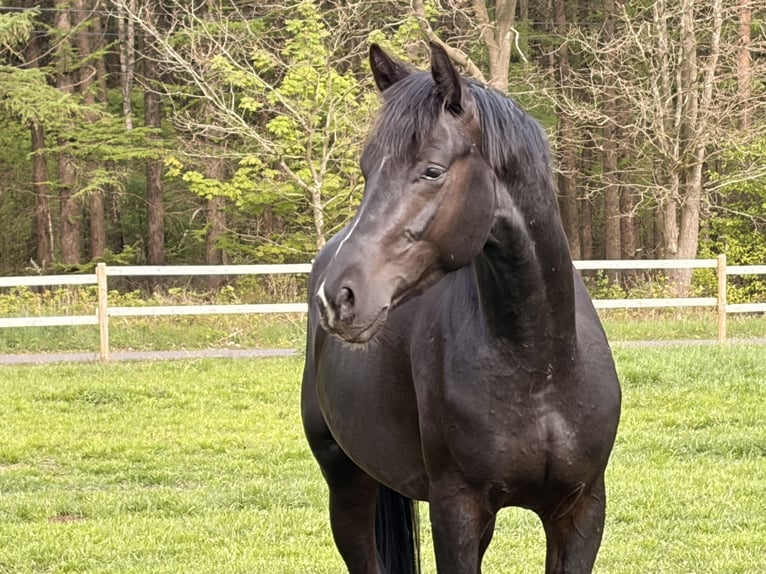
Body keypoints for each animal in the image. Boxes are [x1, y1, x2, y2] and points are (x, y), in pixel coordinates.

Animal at [301, 42, 621, 574]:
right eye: (367, 170)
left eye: (432, 170)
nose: (338, 297)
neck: (539, 365)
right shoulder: (457, 512)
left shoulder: (580, 512)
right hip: (346, 485)